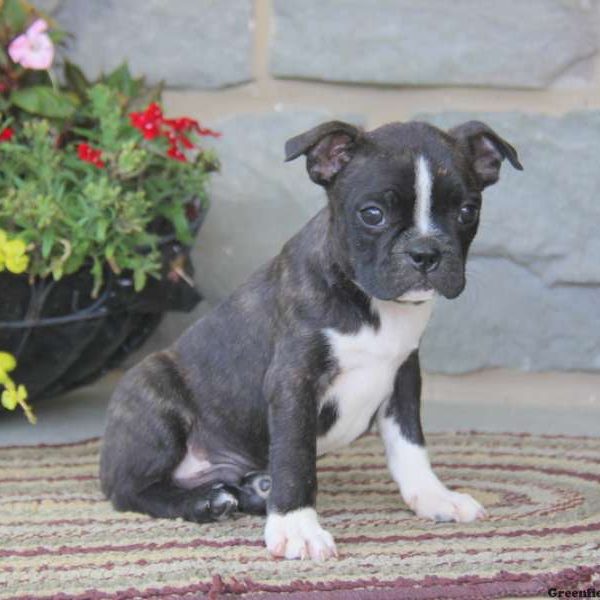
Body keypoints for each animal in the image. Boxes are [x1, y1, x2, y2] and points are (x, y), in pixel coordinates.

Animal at [98, 119, 520, 560]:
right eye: (372, 214)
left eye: (467, 212)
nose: (425, 252)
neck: (371, 302)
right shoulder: (293, 381)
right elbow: (295, 458)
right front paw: (296, 526)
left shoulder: (404, 376)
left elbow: (410, 445)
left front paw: (434, 496)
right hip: (153, 396)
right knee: (128, 490)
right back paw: (204, 502)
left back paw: (252, 490)